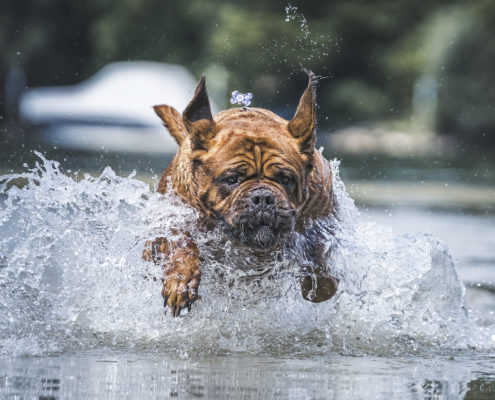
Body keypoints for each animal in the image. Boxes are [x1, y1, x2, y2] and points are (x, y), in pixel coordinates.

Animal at [142, 72, 338, 316]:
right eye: (232, 179)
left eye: (285, 179)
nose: (263, 198)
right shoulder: (175, 215)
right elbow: (182, 243)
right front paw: (181, 279)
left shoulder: (321, 216)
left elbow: (322, 273)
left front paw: (315, 274)